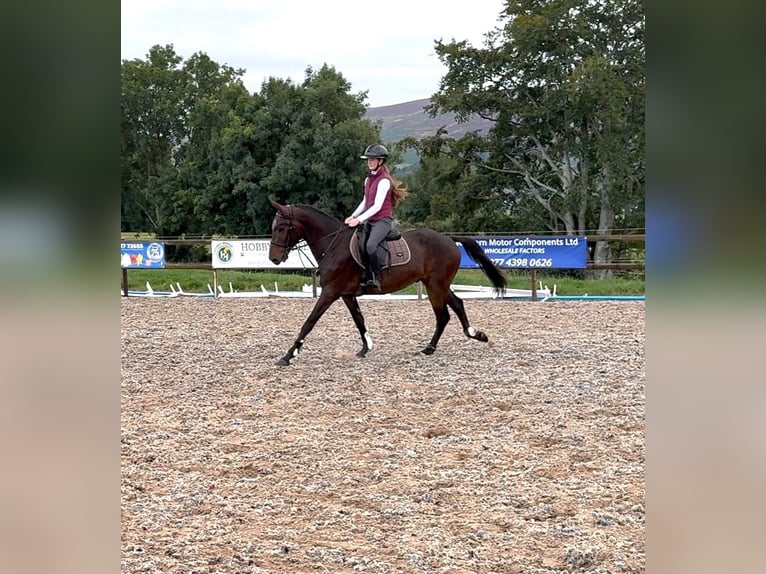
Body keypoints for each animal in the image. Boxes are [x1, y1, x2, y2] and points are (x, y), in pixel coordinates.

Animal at [267, 199, 507, 366]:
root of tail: (448, 238)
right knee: (457, 305)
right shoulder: (346, 294)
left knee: (443, 315)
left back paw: (430, 348)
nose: (274, 259)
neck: (334, 244)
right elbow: (359, 320)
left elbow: (309, 322)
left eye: (281, 228)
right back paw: (476, 334)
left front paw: (288, 355)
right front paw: (365, 348)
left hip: (435, 286)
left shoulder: (330, 292)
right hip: (438, 284)